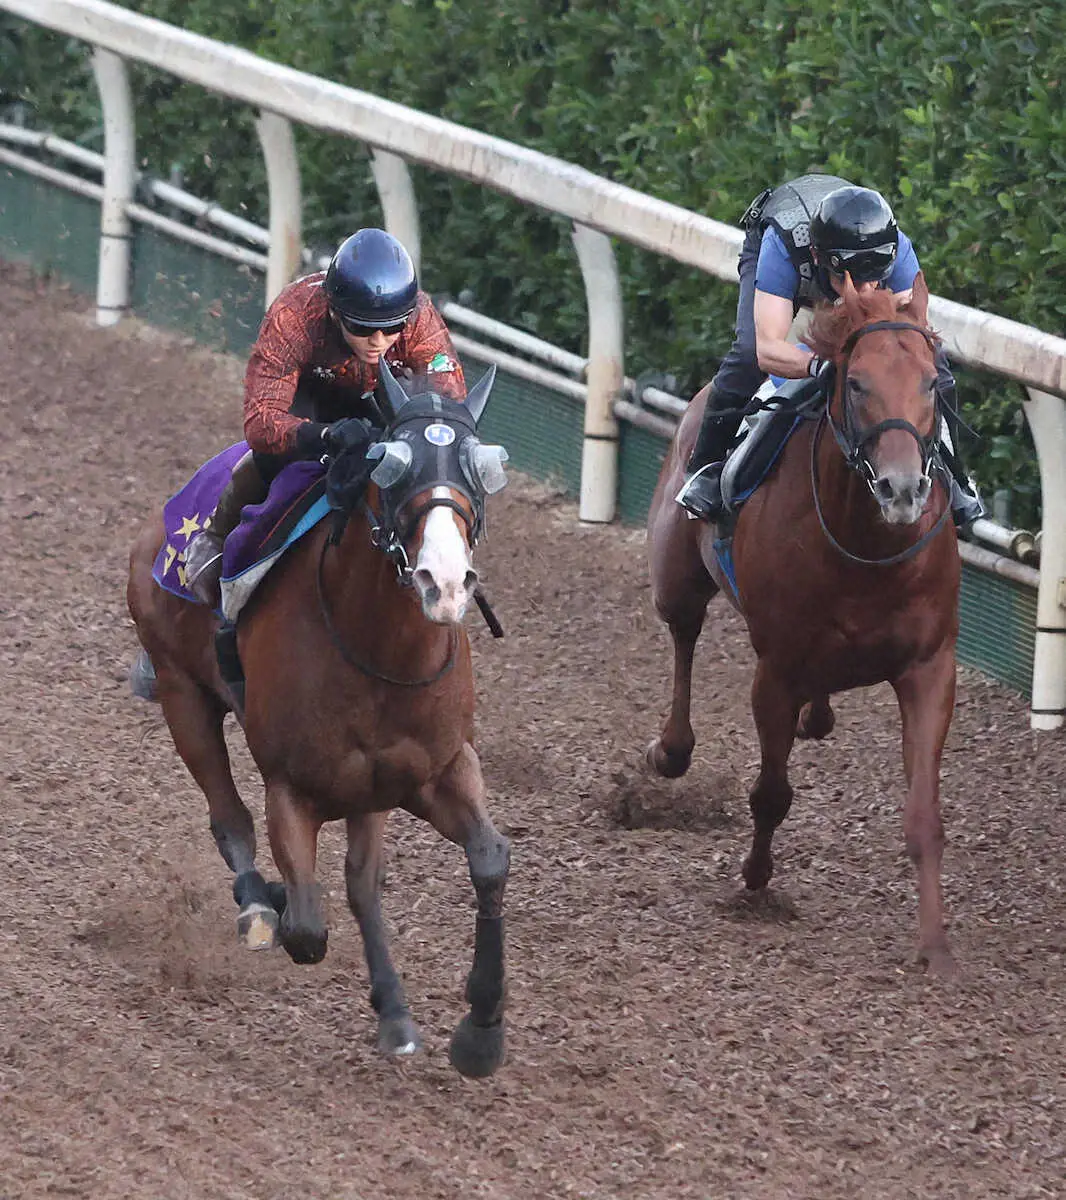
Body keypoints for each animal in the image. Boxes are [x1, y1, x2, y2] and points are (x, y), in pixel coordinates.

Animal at [129, 360, 511, 1075]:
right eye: (391, 467)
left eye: (481, 467)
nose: (444, 582)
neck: (376, 648)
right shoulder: (292, 786)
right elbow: (306, 928)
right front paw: (276, 903)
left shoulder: (432, 771)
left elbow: (488, 860)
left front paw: (480, 1032)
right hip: (180, 691)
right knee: (229, 817)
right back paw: (258, 902)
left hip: (369, 791)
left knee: (360, 884)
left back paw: (394, 1013)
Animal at [643, 274, 960, 974]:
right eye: (858, 383)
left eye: (932, 382)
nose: (902, 490)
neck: (866, 549)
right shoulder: (776, 671)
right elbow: (771, 792)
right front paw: (756, 879)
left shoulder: (930, 668)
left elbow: (924, 817)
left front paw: (935, 947)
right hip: (677, 575)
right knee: (683, 637)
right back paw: (672, 749)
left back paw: (820, 715)